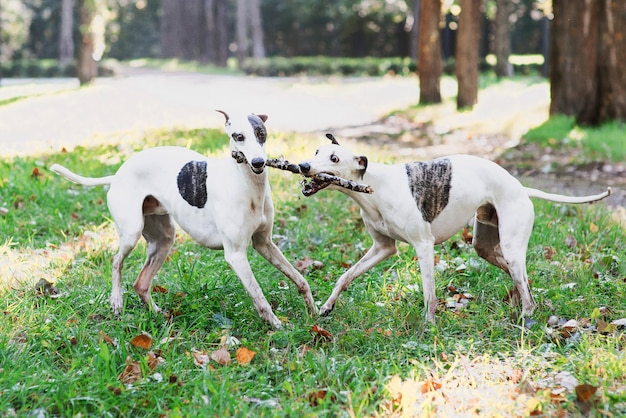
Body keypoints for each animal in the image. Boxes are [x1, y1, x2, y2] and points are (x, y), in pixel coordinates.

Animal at [50, 111, 316, 330]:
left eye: (261, 134)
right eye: (238, 136)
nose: (259, 162)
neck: (248, 187)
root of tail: (117, 173)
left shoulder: (264, 243)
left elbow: (300, 279)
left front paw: (313, 311)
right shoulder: (236, 255)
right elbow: (258, 295)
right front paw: (276, 325)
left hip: (163, 240)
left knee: (141, 283)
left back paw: (157, 314)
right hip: (131, 233)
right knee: (116, 262)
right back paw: (116, 300)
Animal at [298, 134, 608, 324]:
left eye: (335, 159)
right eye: (316, 151)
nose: (302, 165)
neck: (373, 186)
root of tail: (521, 187)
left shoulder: (424, 246)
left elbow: (429, 294)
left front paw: (429, 325)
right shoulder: (382, 248)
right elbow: (346, 276)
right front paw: (326, 307)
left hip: (510, 248)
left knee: (526, 293)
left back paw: (525, 319)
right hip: (485, 246)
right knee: (523, 283)